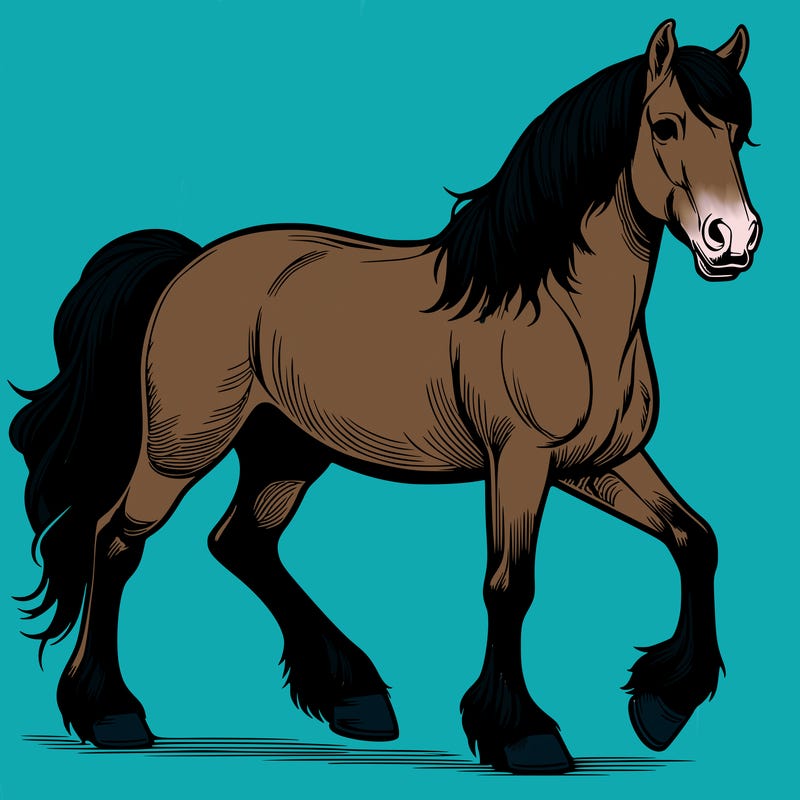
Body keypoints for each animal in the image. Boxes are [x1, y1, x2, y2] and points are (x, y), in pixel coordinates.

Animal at [10, 20, 760, 773]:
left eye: (739, 132)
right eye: (665, 126)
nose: (733, 239)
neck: (558, 308)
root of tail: (189, 264)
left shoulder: (598, 463)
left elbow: (696, 539)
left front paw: (662, 706)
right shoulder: (520, 461)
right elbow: (509, 585)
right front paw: (524, 734)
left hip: (286, 451)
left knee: (242, 542)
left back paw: (355, 697)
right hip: (181, 448)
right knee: (115, 540)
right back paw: (112, 714)